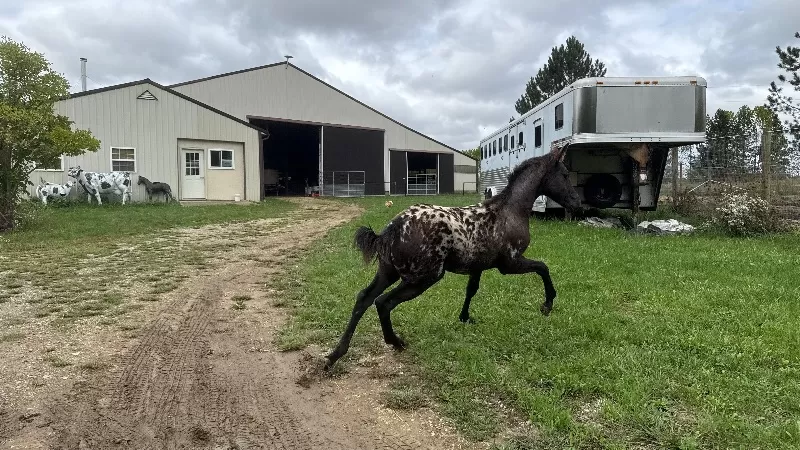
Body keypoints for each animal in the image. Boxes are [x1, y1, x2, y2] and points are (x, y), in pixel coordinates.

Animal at [324, 144, 580, 370]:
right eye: (565, 174)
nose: (578, 203)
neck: (509, 211)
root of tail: (393, 228)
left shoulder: (478, 266)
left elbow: (471, 290)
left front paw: (465, 317)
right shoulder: (510, 263)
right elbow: (543, 267)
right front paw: (547, 304)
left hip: (388, 272)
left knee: (364, 298)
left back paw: (334, 355)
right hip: (423, 278)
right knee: (383, 302)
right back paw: (395, 342)